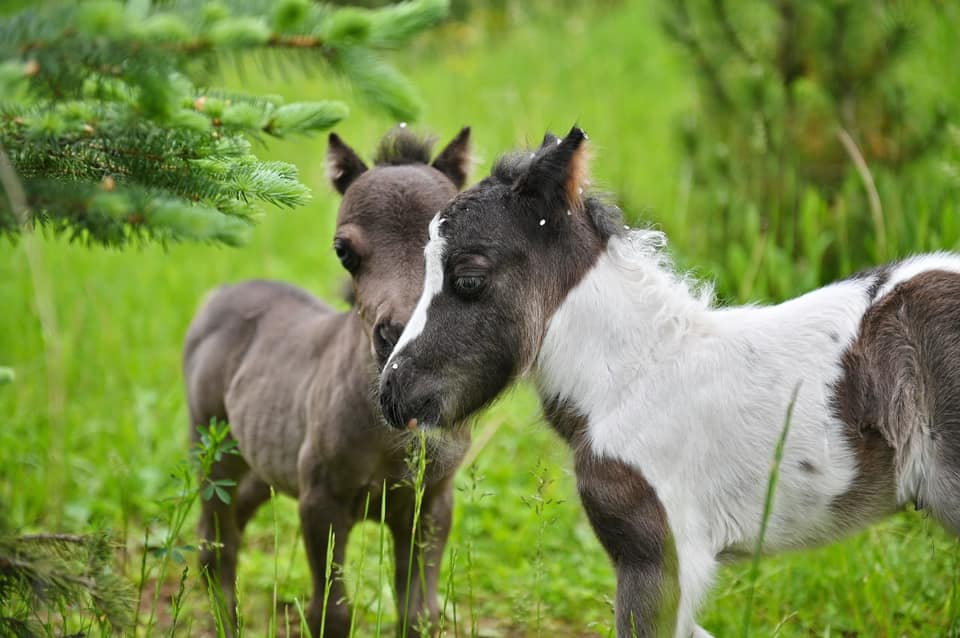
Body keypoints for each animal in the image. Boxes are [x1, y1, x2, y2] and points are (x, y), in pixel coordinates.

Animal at [184, 126, 472, 638]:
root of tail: (219, 296)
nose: (397, 335)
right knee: (218, 543)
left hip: (264, 462)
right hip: (212, 446)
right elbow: (332, 612)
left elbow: (418, 613)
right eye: (344, 251)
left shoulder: (431, 502)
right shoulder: (321, 500)